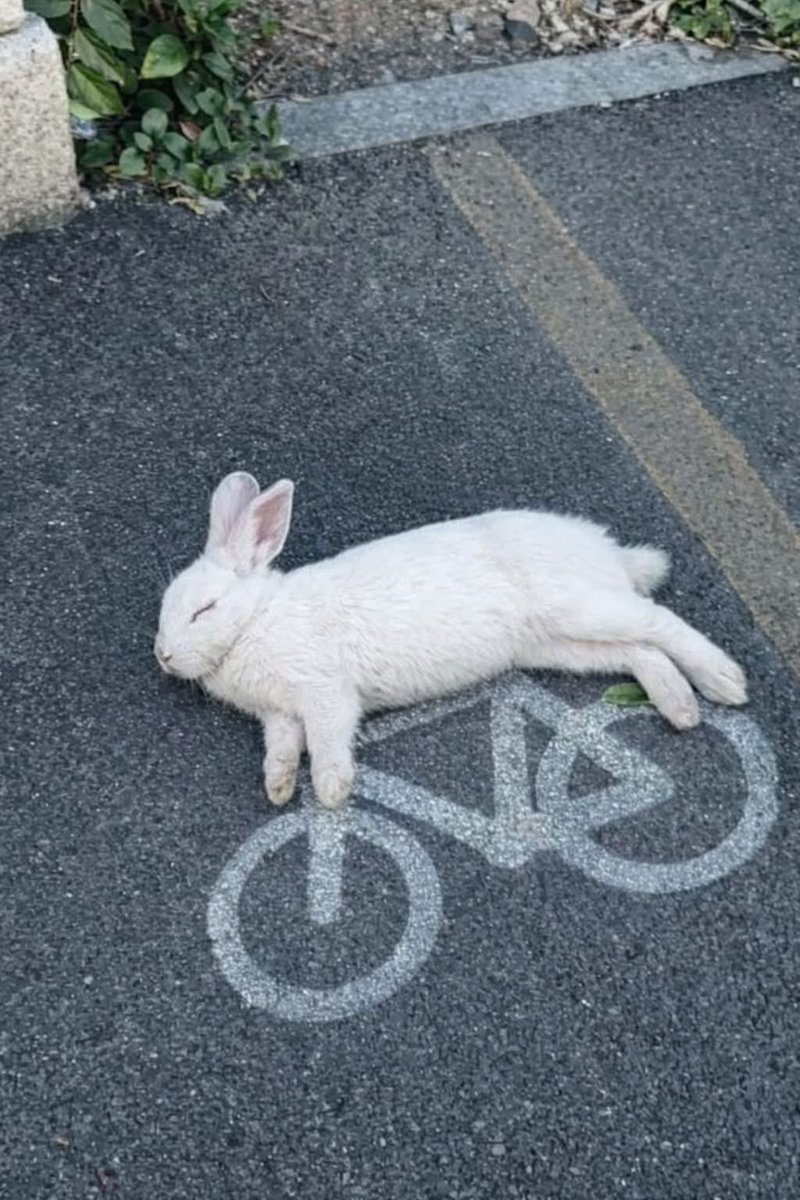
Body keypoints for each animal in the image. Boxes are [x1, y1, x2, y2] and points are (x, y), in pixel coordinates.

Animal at [155, 471, 748, 810]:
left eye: (204, 610)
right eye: (166, 606)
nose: (163, 655)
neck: (256, 620)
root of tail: (608, 551)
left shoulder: (324, 692)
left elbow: (327, 741)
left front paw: (330, 792)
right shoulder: (280, 716)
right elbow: (281, 749)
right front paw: (277, 789)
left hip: (575, 605)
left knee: (659, 621)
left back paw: (725, 681)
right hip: (559, 644)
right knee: (638, 650)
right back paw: (681, 708)